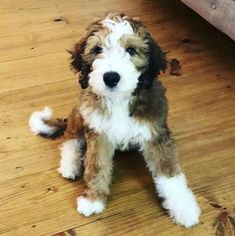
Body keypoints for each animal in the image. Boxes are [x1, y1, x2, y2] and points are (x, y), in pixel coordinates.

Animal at [28, 12, 200, 227]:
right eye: (97, 50)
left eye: (131, 50)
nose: (111, 77)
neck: (119, 99)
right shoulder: (99, 133)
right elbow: (96, 166)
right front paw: (93, 200)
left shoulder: (155, 133)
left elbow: (169, 174)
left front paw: (184, 208)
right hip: (80, 113)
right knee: (71, 138)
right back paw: (70, 164)